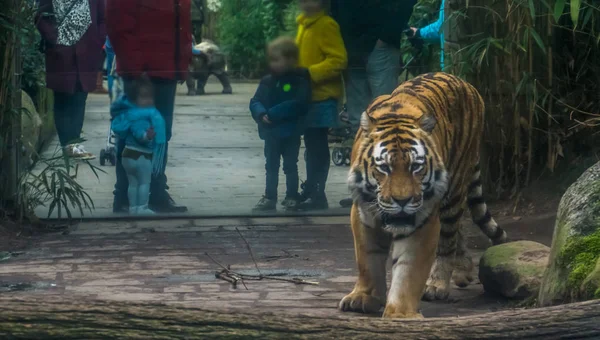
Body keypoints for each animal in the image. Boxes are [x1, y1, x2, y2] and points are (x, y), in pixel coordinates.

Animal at [338, 71, 506, 318]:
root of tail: (466, 83)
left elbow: (409, 269)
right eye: (384, 168)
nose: (402, 201)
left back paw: (438, 284)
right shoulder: (362, 213)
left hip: (453, 189)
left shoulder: (424, 219)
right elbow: (367, 259)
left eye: (416, 167)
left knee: (448, 239)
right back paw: (463, 271)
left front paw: (401, 313)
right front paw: (363, 297)